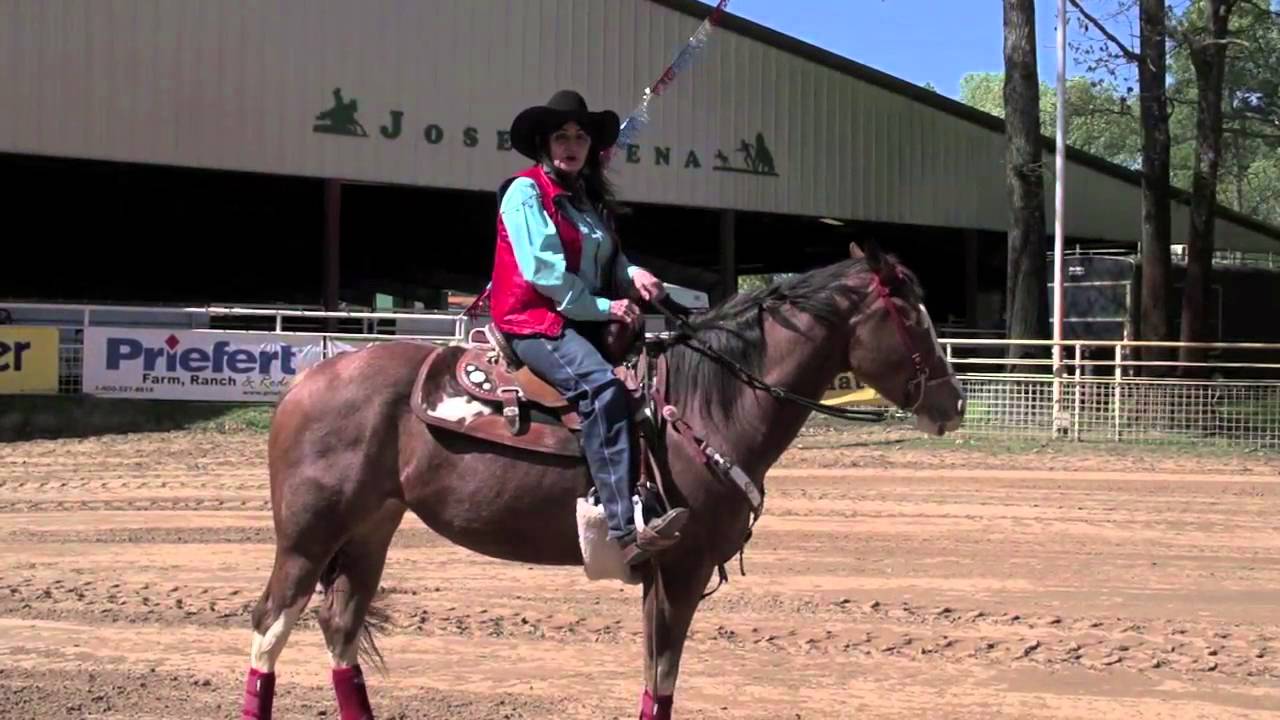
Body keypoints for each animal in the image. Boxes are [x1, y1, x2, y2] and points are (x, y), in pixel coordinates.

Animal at [237, 241, 966, 720]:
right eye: (912, 316)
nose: (954, 403)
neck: (709, 404)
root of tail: (307, 379)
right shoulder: (680, 570)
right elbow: (661, 685)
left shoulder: (663, 579)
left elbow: (656, 680)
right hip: (307, 537)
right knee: (271, 625)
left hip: (370, 531)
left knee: (339, 627)